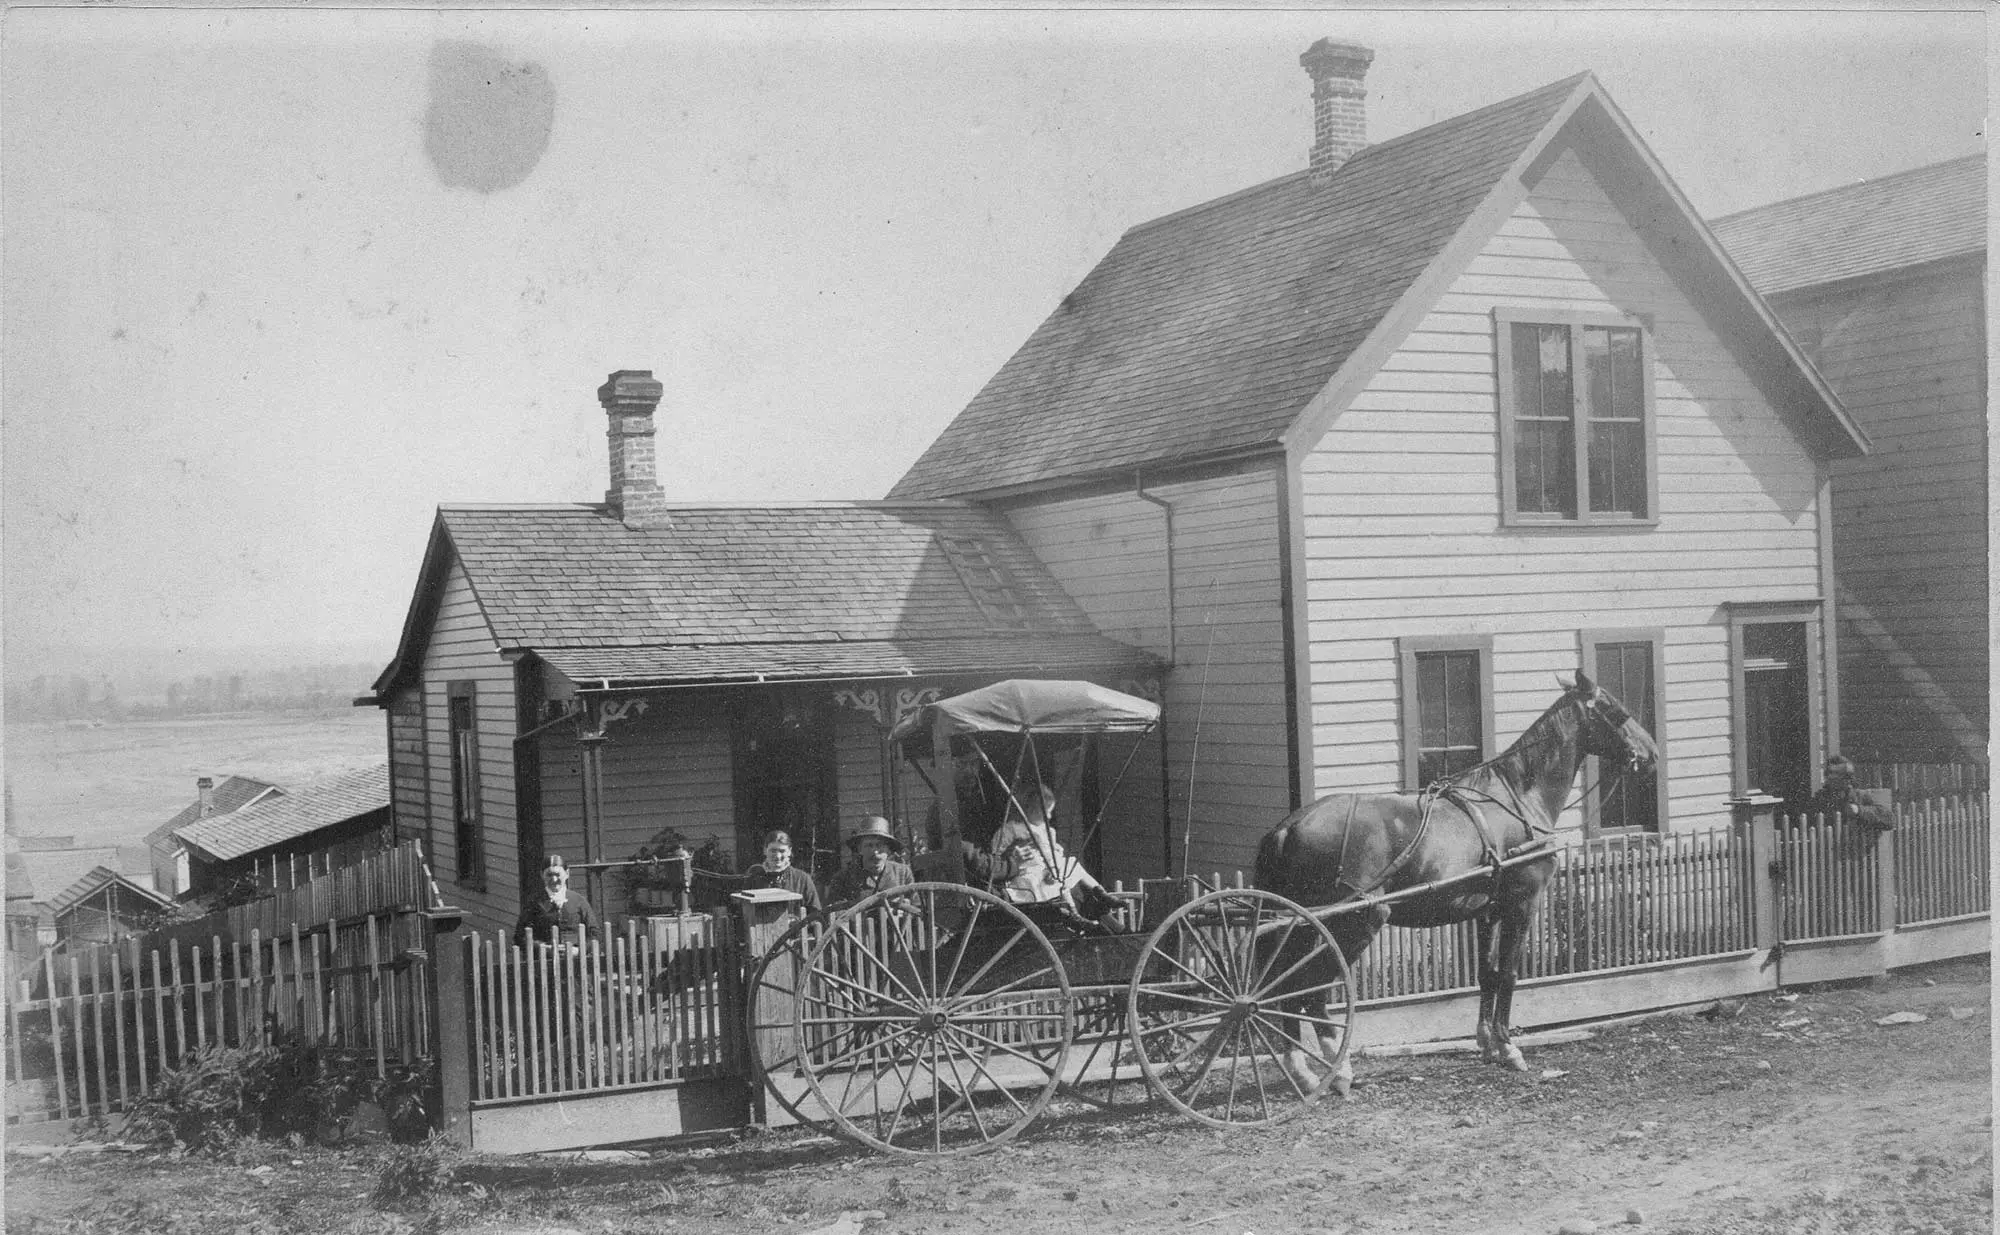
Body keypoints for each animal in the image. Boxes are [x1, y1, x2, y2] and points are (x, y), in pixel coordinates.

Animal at [1256, 671, 1664, 1087]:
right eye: (1616, 710)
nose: (1651, 754)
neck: (1519, 798)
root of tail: (1290, 826)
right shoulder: (1522, 904)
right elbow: (1509, 974)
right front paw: (1509, 1047)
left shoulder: (1487, 911)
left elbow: (1487, 974)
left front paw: (1487, 1043)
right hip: (1352, 923)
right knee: (1311, 991)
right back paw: (1337, 1071)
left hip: (1299, 928)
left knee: (1282, 990)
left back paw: (1299, 1067)